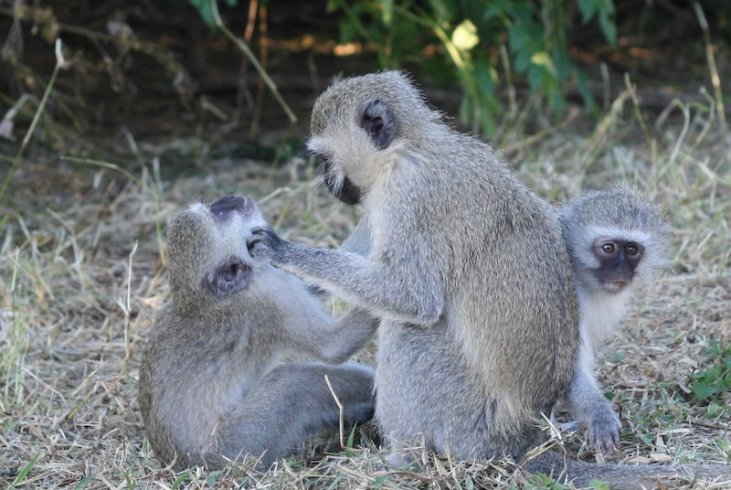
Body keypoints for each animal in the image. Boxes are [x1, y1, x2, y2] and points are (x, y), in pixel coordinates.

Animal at [138, 193, 378, 468]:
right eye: (219, 213)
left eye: (213, 207)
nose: (233, 197)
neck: (204, 299)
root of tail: (181, 463)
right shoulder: (272, 298)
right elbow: (332, 347)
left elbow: (313, 281)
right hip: (239, 446)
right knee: (294, 382)